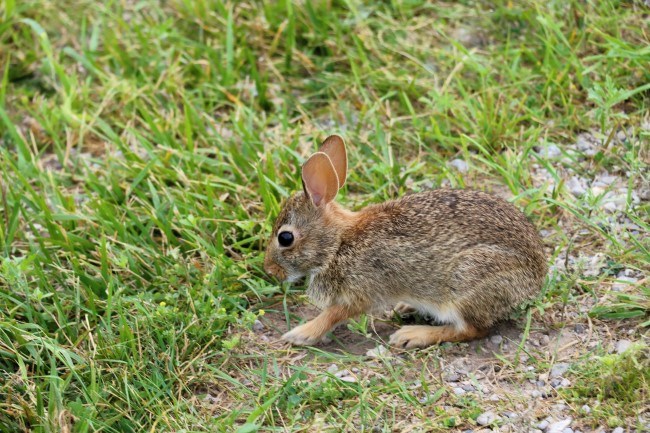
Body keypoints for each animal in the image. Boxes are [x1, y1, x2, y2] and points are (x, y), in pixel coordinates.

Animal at [264, 135, 547, 349]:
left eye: (285, 238)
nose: (270, 271)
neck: (338, 243)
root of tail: (535, 279)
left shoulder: (360, 291)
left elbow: (333, 314)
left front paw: (301, 334)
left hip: (467, 282)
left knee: (471, 330)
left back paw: (411, 335)